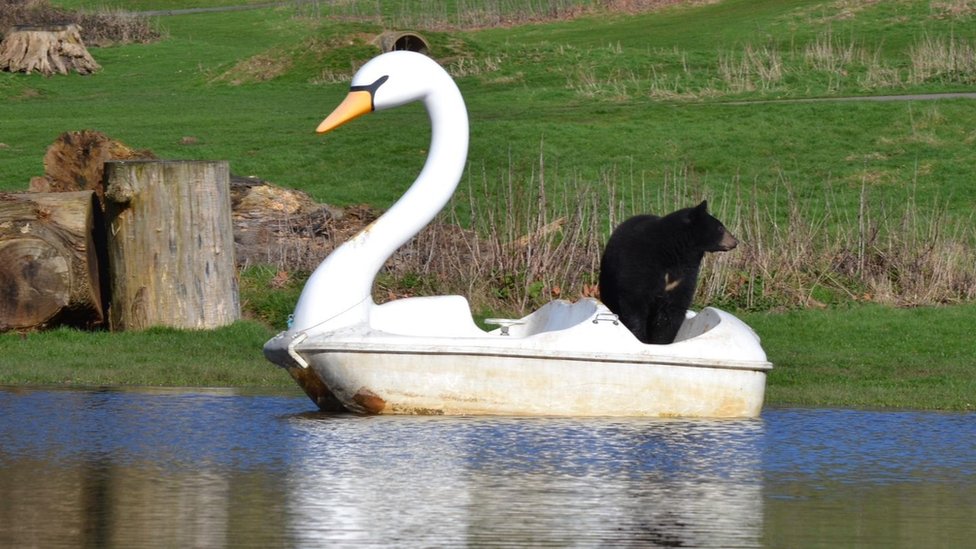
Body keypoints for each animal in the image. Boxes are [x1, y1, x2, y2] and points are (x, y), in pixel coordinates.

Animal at [598, 200, 737, 345]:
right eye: (720, 228)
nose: (736, 241)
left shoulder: (683, 277)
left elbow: (672, 310)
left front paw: (661, 341)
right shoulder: (639, 265)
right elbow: (634, 302)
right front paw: (640, 337)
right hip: (609, 276)